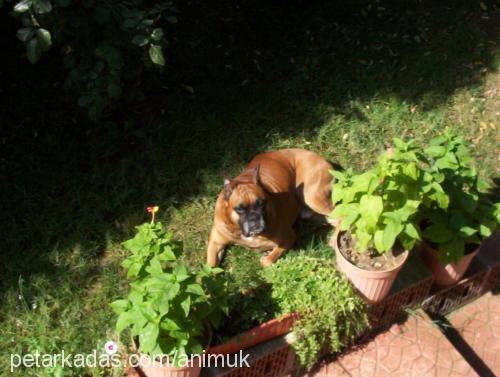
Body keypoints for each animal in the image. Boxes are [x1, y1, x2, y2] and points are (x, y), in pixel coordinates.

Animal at [207, 148, 336, 268]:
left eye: (262, 203)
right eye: (239, 209)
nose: (254, 218)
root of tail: (321, 158)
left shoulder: (289, 237)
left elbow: (266, 261)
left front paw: (267, 255)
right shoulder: (215, 243)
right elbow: (211, 266)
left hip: (313, 197)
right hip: (311, 213)